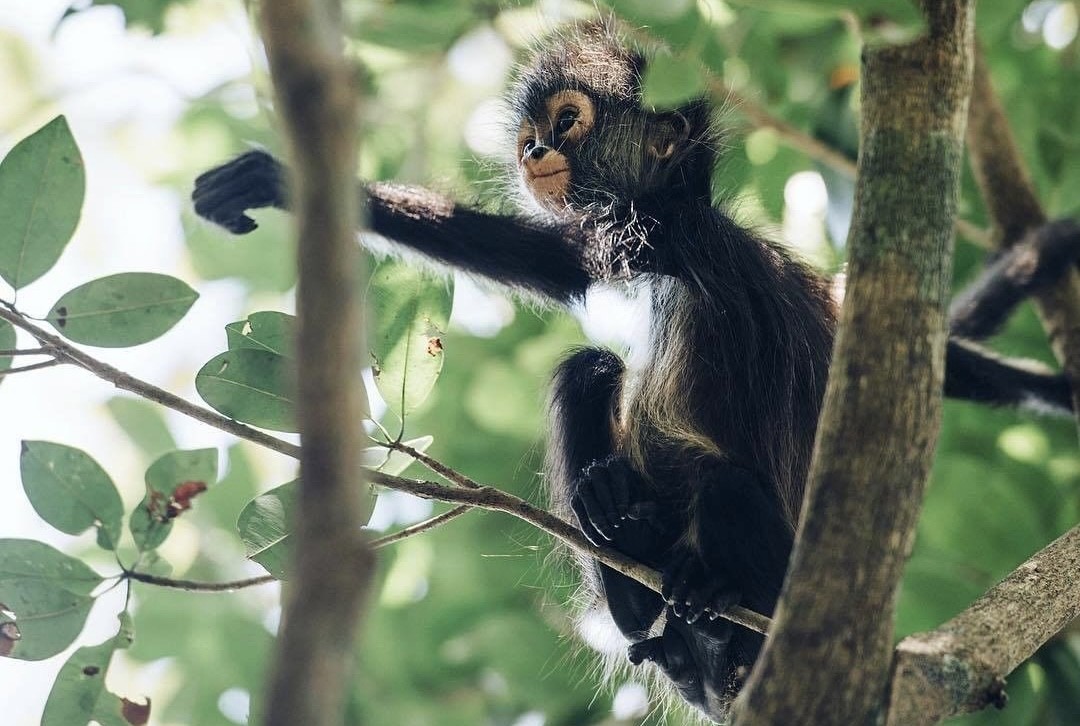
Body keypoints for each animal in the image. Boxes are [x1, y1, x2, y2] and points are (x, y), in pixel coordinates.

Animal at [194, 22, 1080, 721]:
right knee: (588, 371)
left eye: (566, 121)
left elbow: (559, 263)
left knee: (720, 486)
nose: (535, 152)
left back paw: (712, 599)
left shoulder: (652, 231)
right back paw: (632, 577)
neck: (685, 211)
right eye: (531, 134)